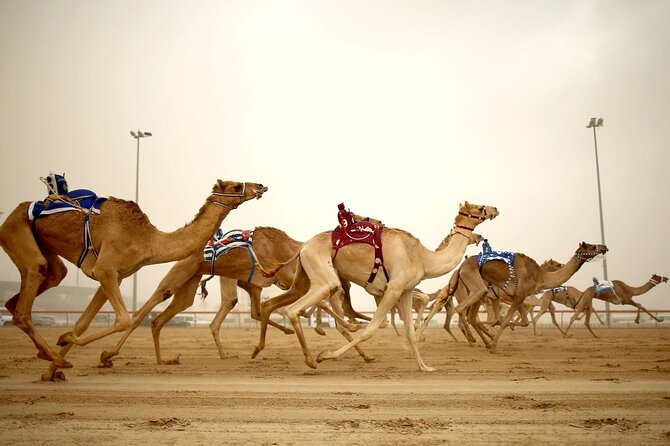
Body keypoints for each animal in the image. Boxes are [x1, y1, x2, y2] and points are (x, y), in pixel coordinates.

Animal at [0, 176, 268, 378]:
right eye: (235, 186)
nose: (261, 186)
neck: (148, 239)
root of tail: (11, 214)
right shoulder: (105, 269)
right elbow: (124, 320)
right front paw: (75, 350)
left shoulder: (114, 276)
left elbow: (83, 323)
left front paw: (52, 368)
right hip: (16, 232)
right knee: (27, 298)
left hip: (44, 250)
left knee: (40, 285)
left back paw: (48, 354)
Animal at [252, 200, 498, 372]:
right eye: (480, 207)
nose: (494, 209)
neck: (423, 258)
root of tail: (303, 246)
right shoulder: (393, 289)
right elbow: (372, 328)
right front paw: (327, 355)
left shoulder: (406, 290)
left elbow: (409, 331)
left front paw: (425, 367)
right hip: (324, 276)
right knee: (294, 309)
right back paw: (313, 359)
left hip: (303, 277)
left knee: (276, 305)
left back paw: (263, 349)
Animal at [438, 242, 612, 350]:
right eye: (593, 246)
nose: (604, 247)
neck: (540, 276)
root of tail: (459, 269)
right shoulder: (518, 295)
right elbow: (506, 320)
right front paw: (494, 344)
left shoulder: (519, 297)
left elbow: (523, 321)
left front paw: (496, 335)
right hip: (476, 289)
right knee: (461, 310)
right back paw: (475, 339)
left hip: (480, 293)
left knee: (471, 317)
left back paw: (483, 340)